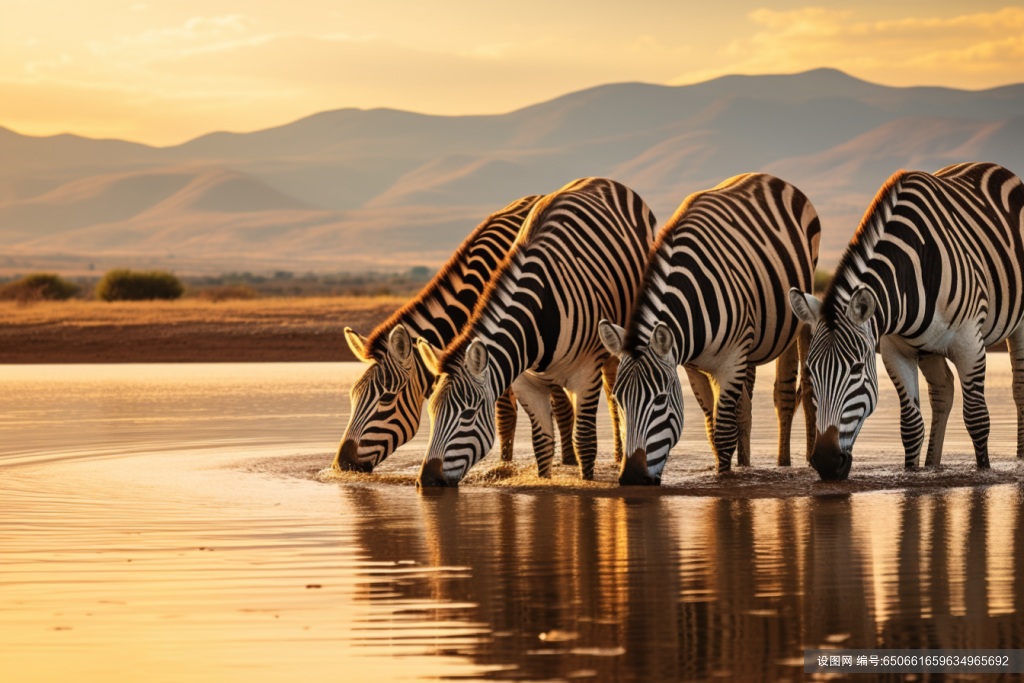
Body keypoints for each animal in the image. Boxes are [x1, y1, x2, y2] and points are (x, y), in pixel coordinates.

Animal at [337, 197, 622, 473]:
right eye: (353, 395)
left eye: (387, 398)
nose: (342, 464)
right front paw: (506, 464)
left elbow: (508, 413)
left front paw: (509, 466)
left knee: (607, 394)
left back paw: (614, 457)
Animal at [415, 178, 655, 485]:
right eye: (431, 411)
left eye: (468, 415)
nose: (427, 480)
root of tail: (602, 181)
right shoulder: (525, 384)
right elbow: (542, 444)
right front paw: (544, 481)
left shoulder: (586, 374)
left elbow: (585, 441)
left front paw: (587, 483)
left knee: (613, 398)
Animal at [598, 176, 819, 485]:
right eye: (618, 398)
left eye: (661, 399)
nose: (632, 478)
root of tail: (765, 176)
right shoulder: (693, 368)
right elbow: (713, 430)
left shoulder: (731, 361)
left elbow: (724, 433)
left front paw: (723, 480)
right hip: (751, 346)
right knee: (746, 408)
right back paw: (748, 464)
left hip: (799, 312)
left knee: (795, 393)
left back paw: (795, 462)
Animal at [786, 162, 1019, 481]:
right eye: (810, 371)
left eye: (857, 369)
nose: (825, 461)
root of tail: (992, 166)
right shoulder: (895, 349)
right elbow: (910, 426)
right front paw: (912, 474)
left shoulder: (969, 343)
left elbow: (977, 418)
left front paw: (983, 472)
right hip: (928, 347)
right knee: (943, 391)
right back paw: (933, 466)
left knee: (1018, 386)